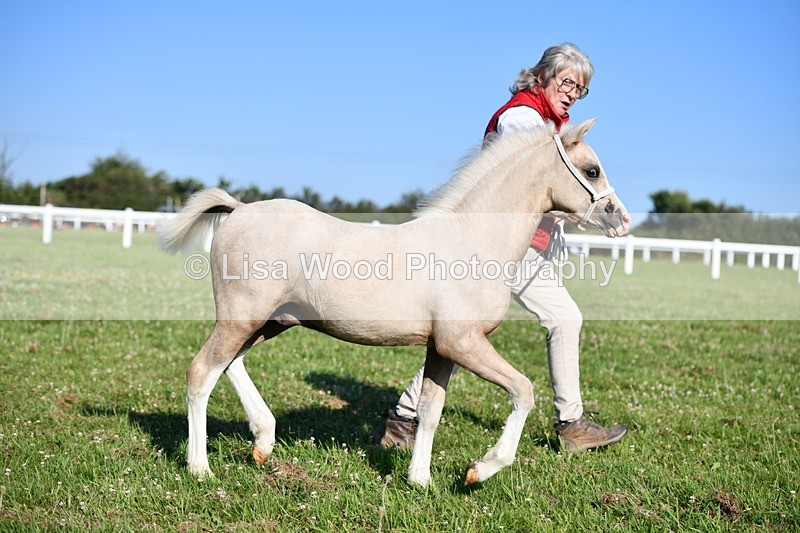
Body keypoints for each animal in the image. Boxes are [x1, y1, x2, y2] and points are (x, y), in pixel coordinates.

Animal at [156, 119, 630, 487]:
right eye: (592, 169)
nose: (621, 220)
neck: (473, 240)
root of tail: (237, 209)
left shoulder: (441, 348)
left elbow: (430, 410)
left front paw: (420, 480)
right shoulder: (463, 343)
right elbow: (524, 391)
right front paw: (479, 470)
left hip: (269, 322)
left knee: (229, 365)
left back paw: (262, 443)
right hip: (242, 319)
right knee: (202, 372)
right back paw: (200, 469)